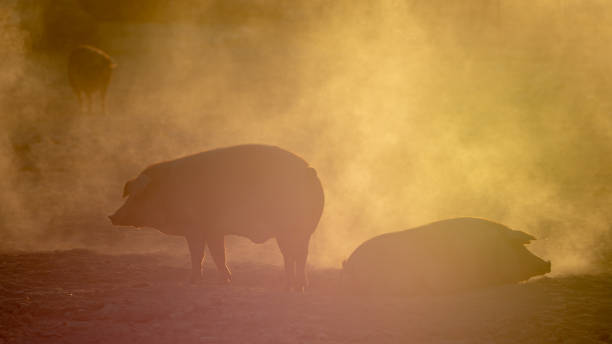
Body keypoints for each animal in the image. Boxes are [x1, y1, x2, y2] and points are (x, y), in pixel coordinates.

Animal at [109, 144, 326, 292]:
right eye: (129, 194)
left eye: (138, 195)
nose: (112, 216)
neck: (167, 191)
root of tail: (309, 171)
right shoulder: (214, 231)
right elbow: (218, 254)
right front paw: (225, 280)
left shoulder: (195, 228)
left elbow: (199, 254)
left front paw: (192, 281)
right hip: (303, 232)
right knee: (300, 255)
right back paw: (300, 286)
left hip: (288, 229)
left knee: (291, 255)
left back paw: (290, 286)